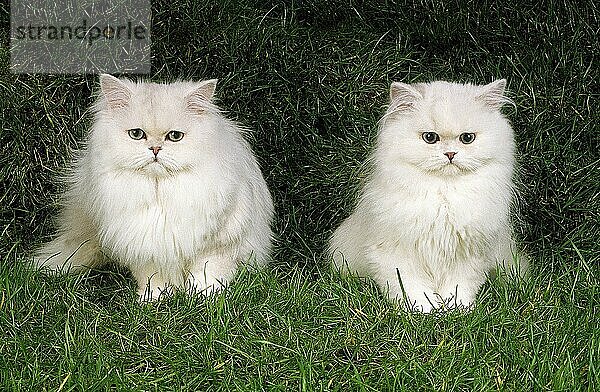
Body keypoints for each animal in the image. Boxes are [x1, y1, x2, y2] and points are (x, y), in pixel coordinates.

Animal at [35, 74, 274, 300]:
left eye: (175, 136)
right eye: (136, 134)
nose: (155, 149)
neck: (160, 192)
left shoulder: (218, 245)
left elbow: (206, 274)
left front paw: (203, 297)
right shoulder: (146, 246)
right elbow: (154, 278)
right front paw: (154, 299)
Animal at [330, 79, 528, 312]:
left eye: (467, 138)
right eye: (430, 138)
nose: (450, 154)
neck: (444, 196)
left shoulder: (469, 255)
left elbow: (458, 288)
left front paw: (456, 311)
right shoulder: (397, 254)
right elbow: (411, 289)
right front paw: (424, 312)